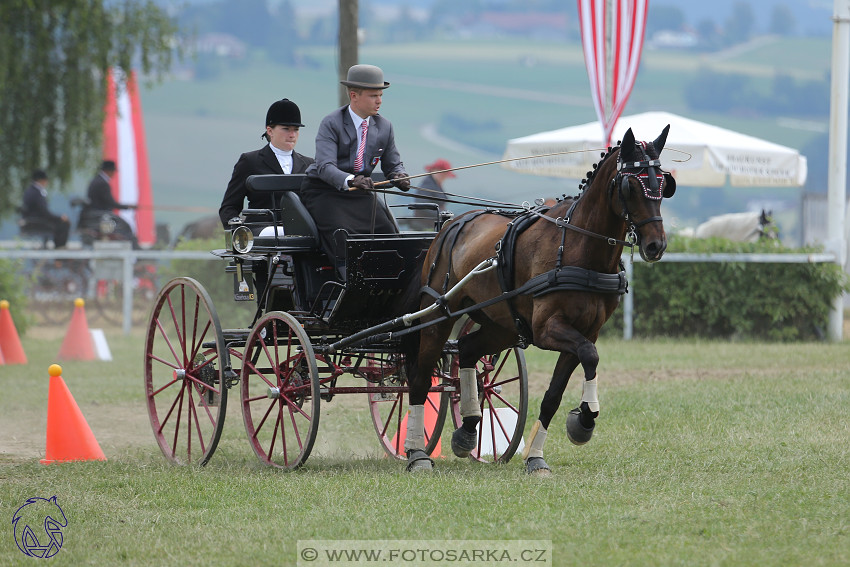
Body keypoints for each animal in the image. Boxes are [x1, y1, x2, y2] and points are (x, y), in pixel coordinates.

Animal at [400, 124, 676, 474]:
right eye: (630, 185)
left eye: (664, 184)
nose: (656, 246)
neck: (579, 247)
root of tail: (451, 223)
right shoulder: (547, 330)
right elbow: (591, 356)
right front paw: (584, 420)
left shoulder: (585, 331)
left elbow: (556, 392)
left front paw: (538, 454)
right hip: (437, 316)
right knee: (420, 377)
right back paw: (416, 453)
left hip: (501, 325)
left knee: (467, 350)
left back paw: (468, 428)